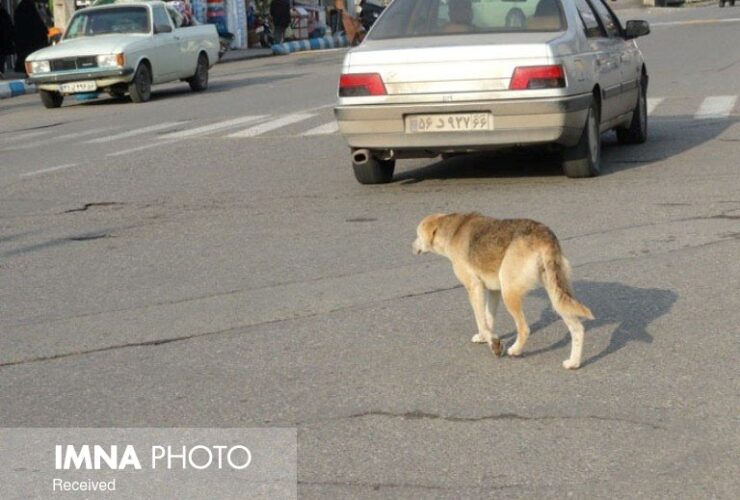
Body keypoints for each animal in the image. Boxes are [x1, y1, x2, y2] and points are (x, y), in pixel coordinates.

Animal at [410, 213, 596, 370]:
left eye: (417, 234)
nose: (411, 247)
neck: (454, 230)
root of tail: (543, 234)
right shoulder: (494, 291)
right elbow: (488, 318)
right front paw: (485, 338)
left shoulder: (475, 288)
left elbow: (481, 320)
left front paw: (494, 344)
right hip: (556, 295)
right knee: (578, 329)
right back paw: (573, 363)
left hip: (510, 293)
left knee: (524, 329)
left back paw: (515, 350)